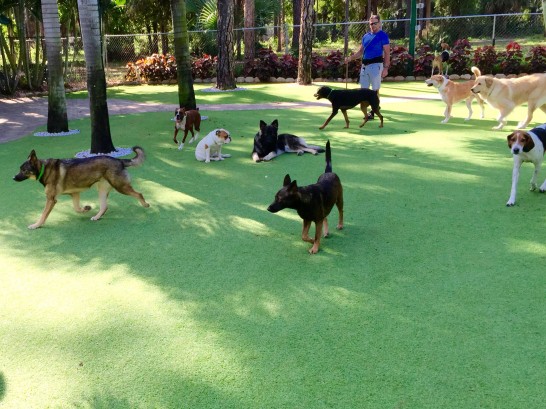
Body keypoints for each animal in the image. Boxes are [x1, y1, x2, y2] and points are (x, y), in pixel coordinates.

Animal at [13, 147, 149, 230]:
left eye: (24, 170)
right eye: (19, 169)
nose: (13, 178)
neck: (44, 168)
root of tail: (119, 160)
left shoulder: (51, 199)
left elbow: (43, 215)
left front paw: (36, 225)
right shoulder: (74, 194)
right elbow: (77, 208)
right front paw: (86, 208)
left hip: (120, 187)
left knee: (139, 194)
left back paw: (145, 204)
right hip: (102, 190)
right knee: (104, 206)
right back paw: (96, 217)